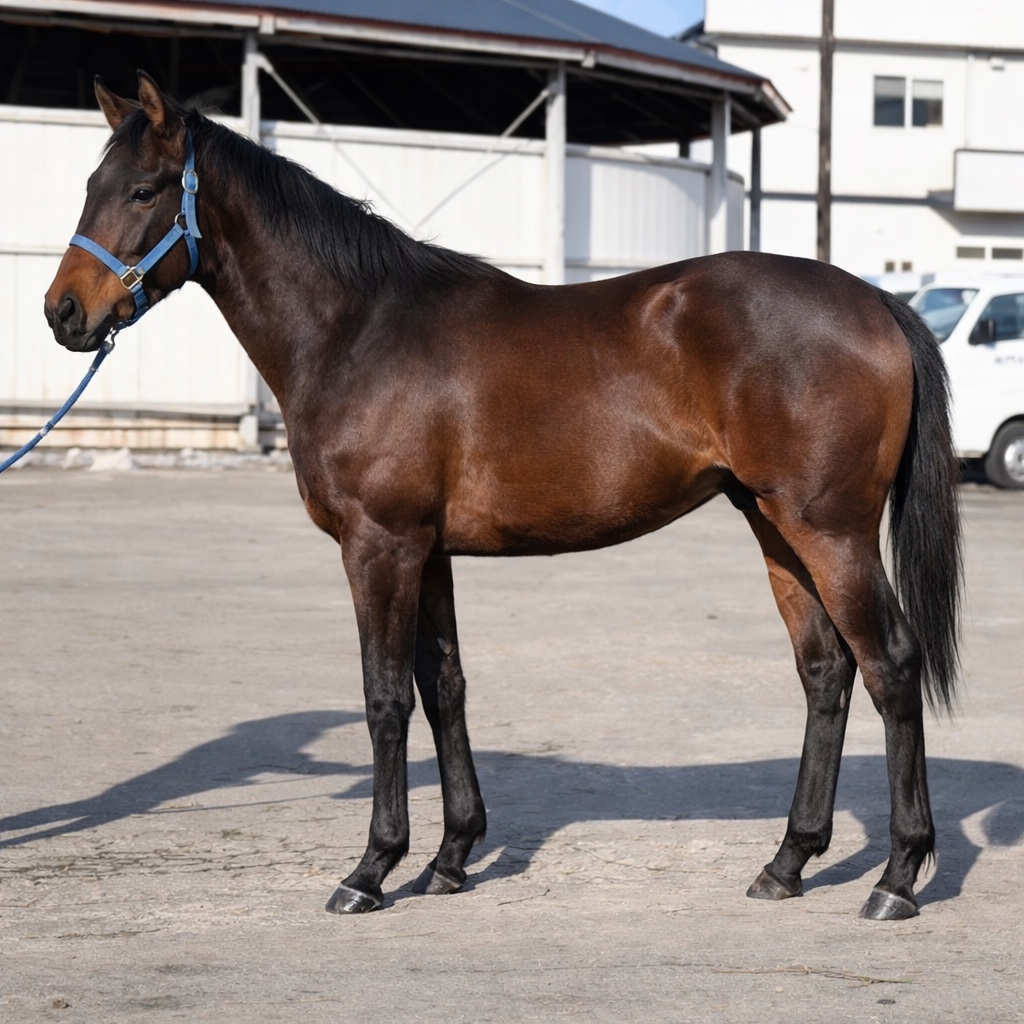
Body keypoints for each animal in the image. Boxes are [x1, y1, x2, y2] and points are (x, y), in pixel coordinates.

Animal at [43, 73, 962, 921]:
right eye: (88, 184)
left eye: (144, 190)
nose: (64, 313)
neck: (358, 329)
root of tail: (877, 300)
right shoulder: (427, 550)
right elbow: (443, 688)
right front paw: (450, 858)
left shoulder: (379, 544)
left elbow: (384, 698)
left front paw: (370, 869)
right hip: (776, 528)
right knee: (826, 672)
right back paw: (788, 862)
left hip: (829, 530)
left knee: (890, 664)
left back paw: (896, 878)